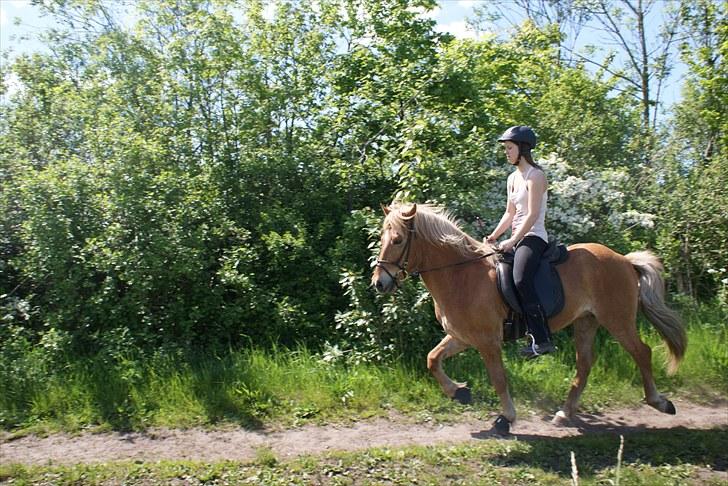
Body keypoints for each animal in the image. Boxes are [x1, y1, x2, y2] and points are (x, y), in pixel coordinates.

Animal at [372, 201, 684, 432]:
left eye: (397, 240)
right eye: (381, 238)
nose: (379, 283)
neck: (461, 274)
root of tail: (625, 260)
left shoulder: (487, 341)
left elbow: (498, 378)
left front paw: (506, 418)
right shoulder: (461, 336)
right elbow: (432, 359)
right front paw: (459, 392)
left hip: (617, 319)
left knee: (641, 352)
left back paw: (659, 402)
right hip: (586, 321)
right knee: (585, 364)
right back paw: (563, 414)